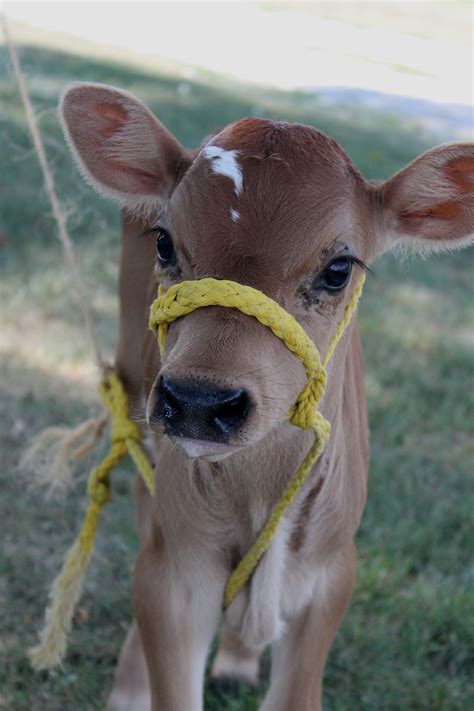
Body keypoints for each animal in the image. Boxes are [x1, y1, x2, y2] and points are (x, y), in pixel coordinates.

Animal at [60, 85, 474, 711]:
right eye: (164, 241)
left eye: (338, 269)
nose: (200, 402)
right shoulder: (175, 572)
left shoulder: (334, 573)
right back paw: (131, 686)